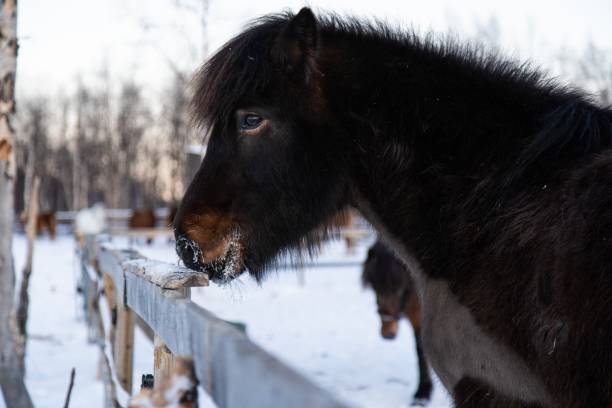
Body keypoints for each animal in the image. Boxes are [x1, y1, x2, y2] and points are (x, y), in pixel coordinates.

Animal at [360, 241, 432, 406]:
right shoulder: (415, 318)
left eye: (400, 289)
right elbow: (420, 352)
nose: (387, 334)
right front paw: (422, 392)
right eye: (375, 287)